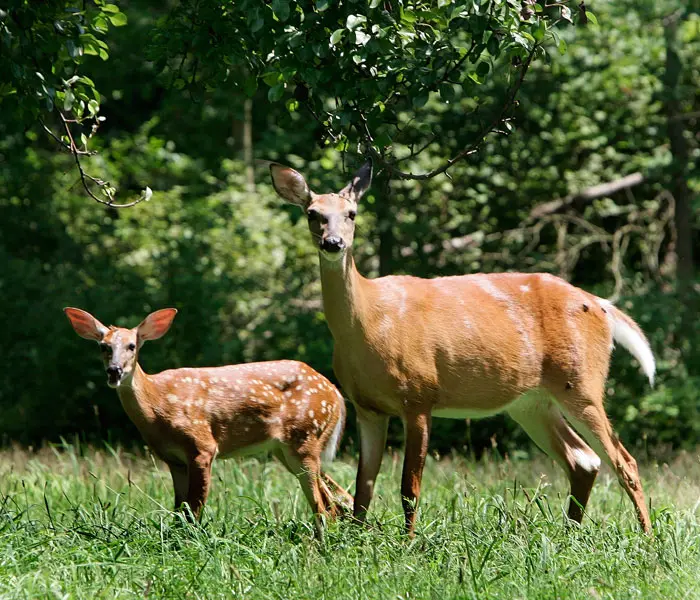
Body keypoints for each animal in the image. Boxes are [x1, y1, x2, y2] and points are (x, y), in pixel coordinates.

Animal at [63, 308, 352, 532]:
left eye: (132, 345)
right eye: (104, 346)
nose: (114, 371)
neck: (157, 407)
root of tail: (336, 394)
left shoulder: (202, 446)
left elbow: (194, 510)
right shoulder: (173, 459)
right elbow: (179, 510)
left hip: (305, 436)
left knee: (324, 506)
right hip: (287, 449)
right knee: (336, 502)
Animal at [270, 161, 656, 536]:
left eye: (351, 213)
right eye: (313, 213)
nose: (333, 243)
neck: (368, 322)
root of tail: (602, 305)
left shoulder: (419, 394)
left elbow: (409, 486)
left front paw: (410, 543)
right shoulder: (367, 407)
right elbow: (364, 485)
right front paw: (358, 540)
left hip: (582, 381)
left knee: (624, 461)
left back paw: (646, 538)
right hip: (532, 402)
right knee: (583, 459)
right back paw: (570, 533)